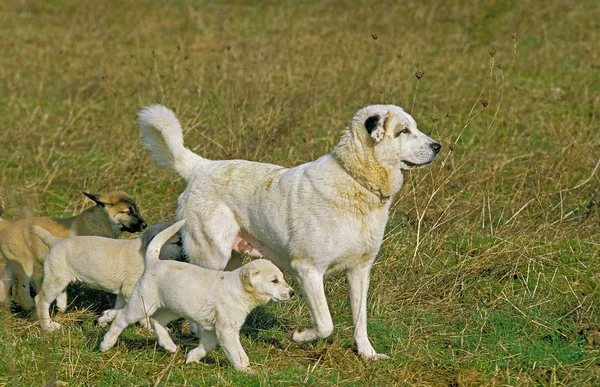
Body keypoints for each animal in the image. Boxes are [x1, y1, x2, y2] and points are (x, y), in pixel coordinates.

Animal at [31, 223, 182, 332]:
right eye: (177, 243)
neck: (145, 252)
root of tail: (55, 240)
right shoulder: (131, 290)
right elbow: (145, 313)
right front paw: (150, 327)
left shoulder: (124, 293)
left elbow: (119, 309)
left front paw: (105, 320)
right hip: (56, 278)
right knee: (41, 300)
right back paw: (48, 326)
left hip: (60, 276)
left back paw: (61, 306)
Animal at [99, 220, 294, 372]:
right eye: (274, 281)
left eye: (282, 278)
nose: (292, 293)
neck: (239, 288)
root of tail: (154, 262)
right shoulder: (226, 330)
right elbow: (237, 353)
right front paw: (245, 370)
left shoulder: (213, 329)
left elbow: (208, 346)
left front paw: (192, 357)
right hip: (142, 304)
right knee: (121, 319)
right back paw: (106, 344)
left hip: (172, 308)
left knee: (156, 320)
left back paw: (169, 345)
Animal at [139, 103, 440, 360]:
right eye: (403, 131)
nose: (437, 146)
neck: (355, 179)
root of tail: (201, 167)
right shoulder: (308, 269)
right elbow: (325, 323)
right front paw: (299, 336)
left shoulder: (360, 270)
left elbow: (360, 318)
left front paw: (368, 354)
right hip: (213, 254)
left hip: (230, 260)